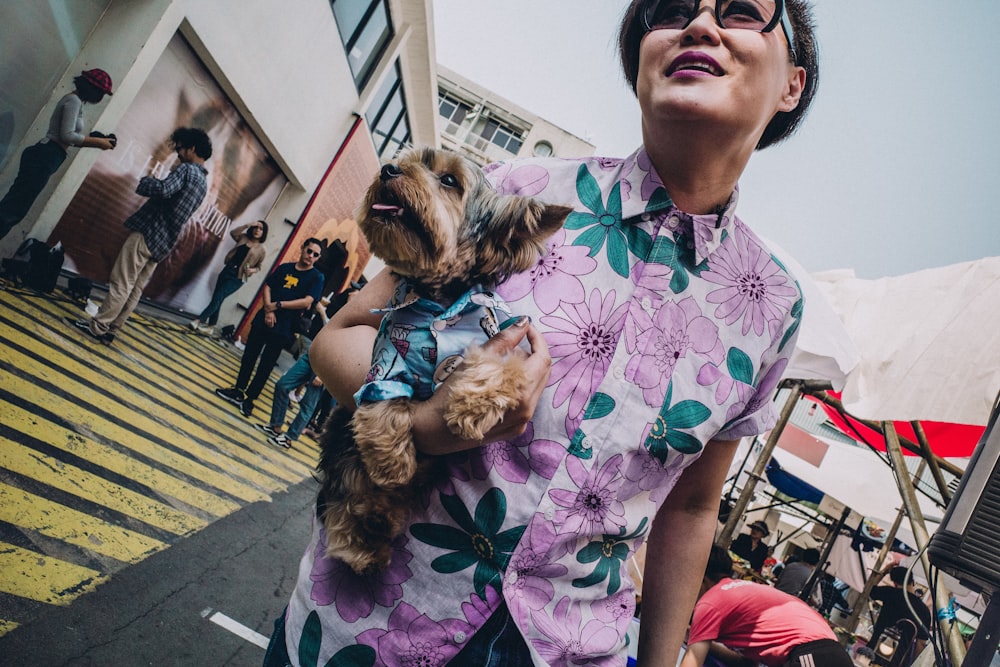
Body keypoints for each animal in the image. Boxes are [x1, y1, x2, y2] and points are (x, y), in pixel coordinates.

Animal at [320, 147, 572, 576]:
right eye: (404, 160)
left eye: (449, 181)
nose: (388, 168)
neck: (438, 297)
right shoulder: (387, 358)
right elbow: (383, 399)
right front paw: (391, 462)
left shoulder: (505, 342)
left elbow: (498, 368)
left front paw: (471, 406)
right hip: (342, 440)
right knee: (348, 492)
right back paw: (366, 534)